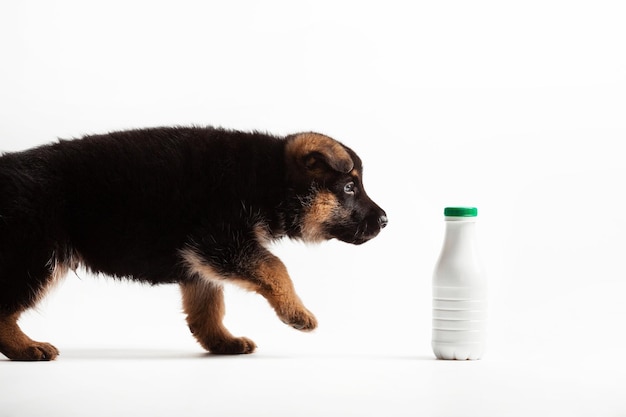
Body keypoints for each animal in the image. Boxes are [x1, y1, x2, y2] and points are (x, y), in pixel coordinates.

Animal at [0, 125, 388, 360]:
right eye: (349, 188)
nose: (385, 220)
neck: (269, 179)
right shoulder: (221, 241)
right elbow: (275, 265)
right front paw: (297, 313)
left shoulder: (200, 260)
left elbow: (207, 307)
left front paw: (221, 342)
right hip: (35, 255)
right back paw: (26, 348)